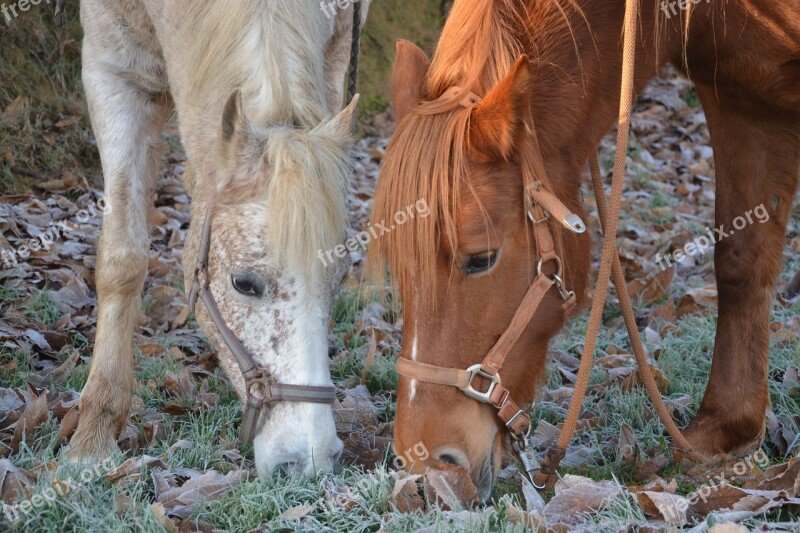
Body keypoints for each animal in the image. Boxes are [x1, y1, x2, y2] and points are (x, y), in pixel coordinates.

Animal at [69, 0, 368, 476]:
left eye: (340, 280)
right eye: (243, 283)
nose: (310, 459)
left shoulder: (339, 49)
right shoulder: (112, 69)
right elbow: (123, 260)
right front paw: (94, 434)